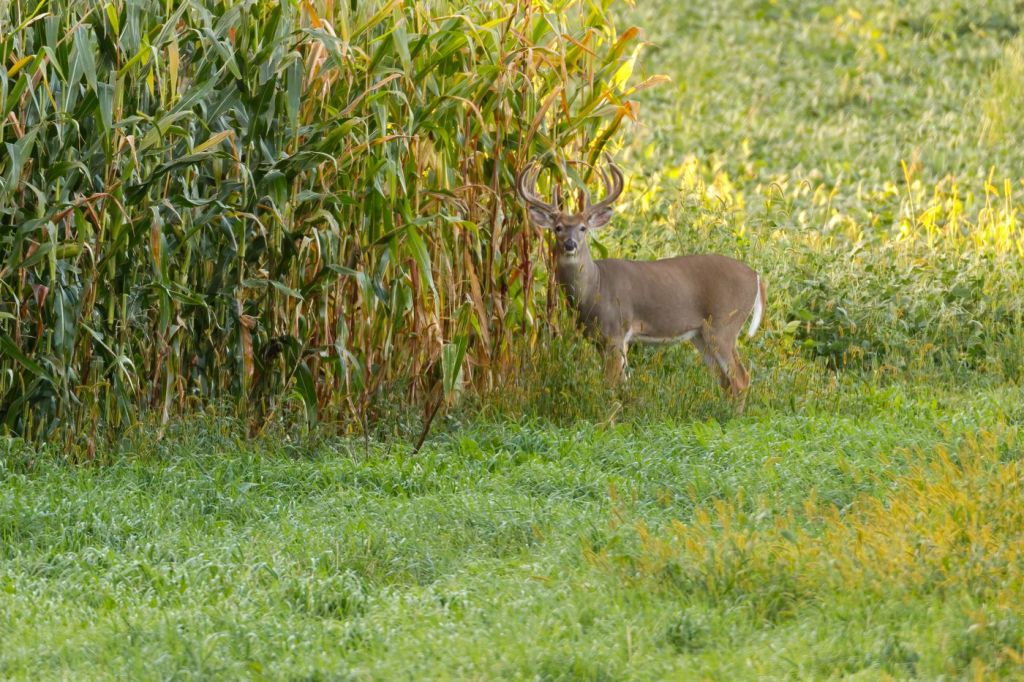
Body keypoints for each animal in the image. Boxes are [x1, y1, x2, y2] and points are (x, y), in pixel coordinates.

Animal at [515, 156, 766, 407]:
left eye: (583, 228)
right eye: (557, 228)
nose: (570, 244)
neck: (594, 287)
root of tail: (755, 276)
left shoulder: (615, 331)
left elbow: (612, 385)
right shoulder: (599, 338)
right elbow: (624, 384)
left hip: (725, 323)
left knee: (741, 378)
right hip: (701, 334)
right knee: (726, 380)